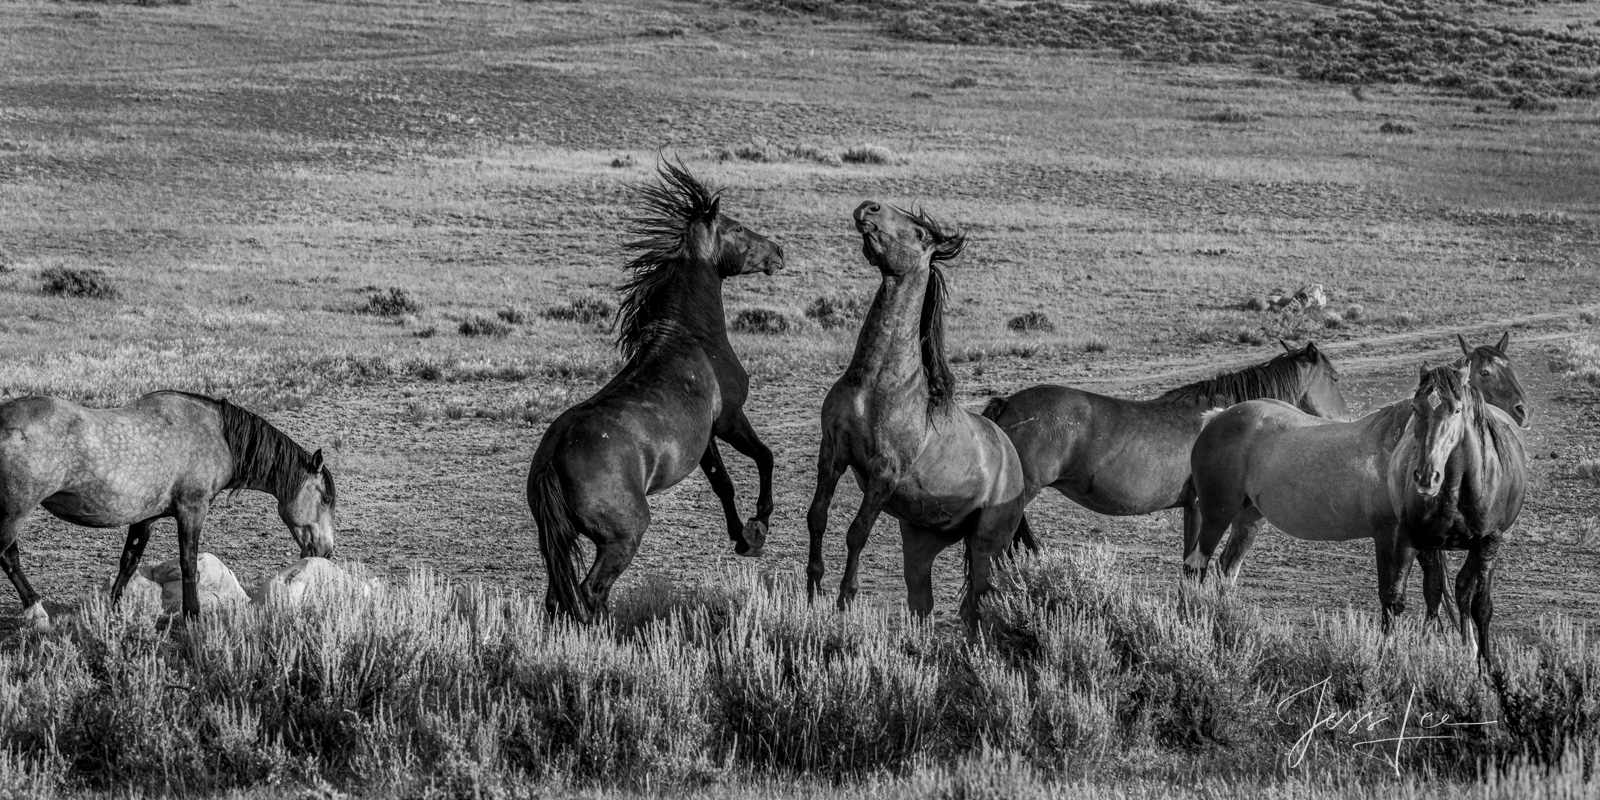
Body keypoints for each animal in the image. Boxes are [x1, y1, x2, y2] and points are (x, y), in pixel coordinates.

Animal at [0, 390, 337, 627]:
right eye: (326, 499)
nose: (326, 550)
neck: (219, 435)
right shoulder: (192, 510)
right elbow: (188, 563)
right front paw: (193, 615)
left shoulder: (145, 518)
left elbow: (129, 563)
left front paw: (114, 612)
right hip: (13, 514)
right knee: (8, 556)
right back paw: (36, 612)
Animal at [528, 162, 784, 620]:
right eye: (736, 227)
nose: (778, 252)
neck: (690, 335)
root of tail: (552, 459)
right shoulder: (729, 419)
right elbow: (764, 457)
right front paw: (759, 528)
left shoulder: (706, 439)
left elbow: (723, 484)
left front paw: (742, 538)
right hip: (623, 536)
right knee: (591, 592)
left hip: (557, 540)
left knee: (560, 598)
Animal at [800, 201, 1024, 630]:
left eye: (920, 233)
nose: (868, 207)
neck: (876, 383)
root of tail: (1012, 453)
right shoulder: (832, 451)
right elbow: (817, 516)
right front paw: (812, 589)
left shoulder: (884, 472)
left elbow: (857, 531)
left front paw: (845, 600)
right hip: (921, 542)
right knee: (924, 603)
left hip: (987, 545)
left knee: (979, 602)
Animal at [1196, 337, 1529, 662]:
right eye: (1486, 372)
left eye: (1511, 367)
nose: (1521, 412)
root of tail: (1218, 417)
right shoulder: (1390, 535)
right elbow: (1393, 596)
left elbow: (1440, 590)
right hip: (1215, 514)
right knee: (1197, 566)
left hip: (1249, 517)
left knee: (1226, 569)